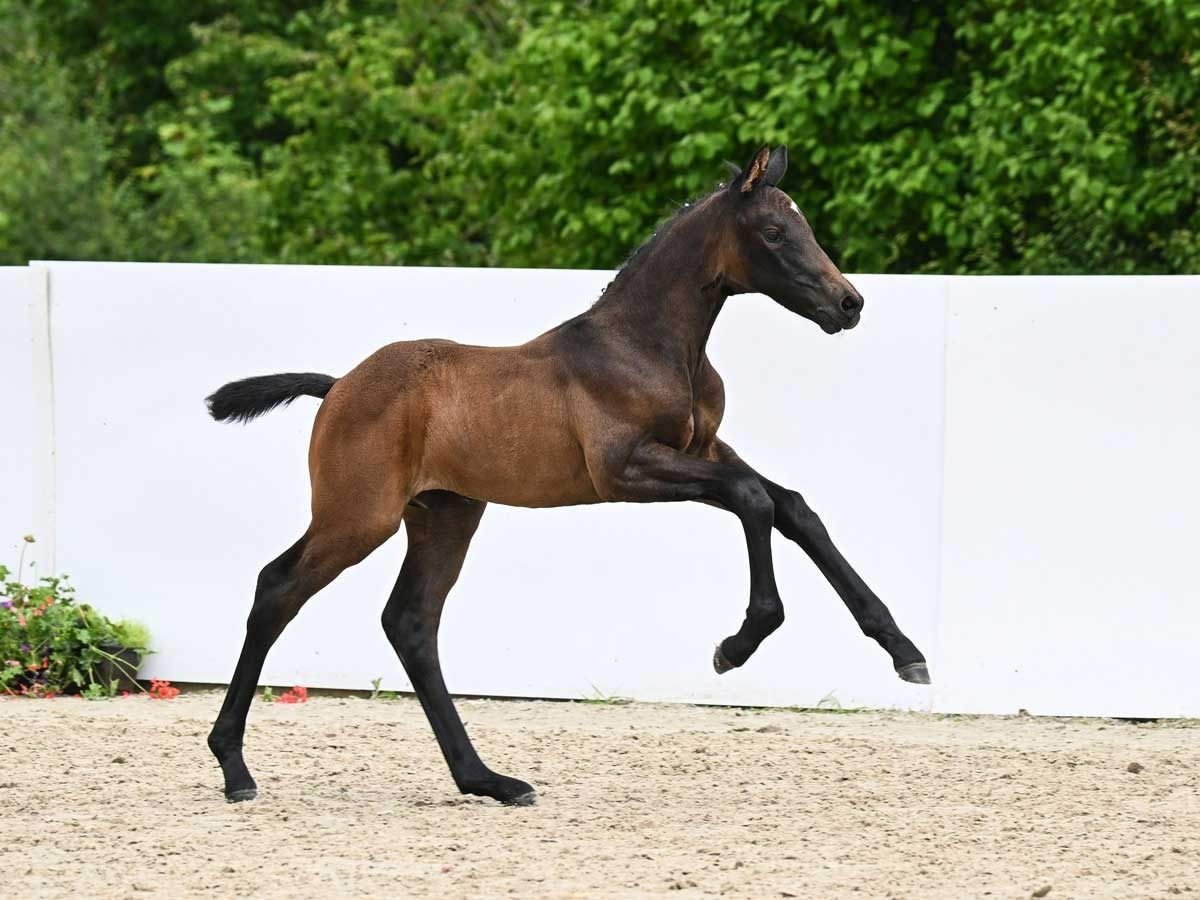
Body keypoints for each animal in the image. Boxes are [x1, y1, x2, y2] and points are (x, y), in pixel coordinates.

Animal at [208, 148, 926, 811]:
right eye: (775, 232)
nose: (849, 302)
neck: (645, 345)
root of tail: (337, 387)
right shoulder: (625, 467)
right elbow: (754, 501)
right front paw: (737, 645)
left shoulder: (706, 448)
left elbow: (794, 508)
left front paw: (903, 650)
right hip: (359, 515)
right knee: (278, 588)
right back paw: (235, 768)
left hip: (445, 513)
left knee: (410, 621)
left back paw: (488, 780)